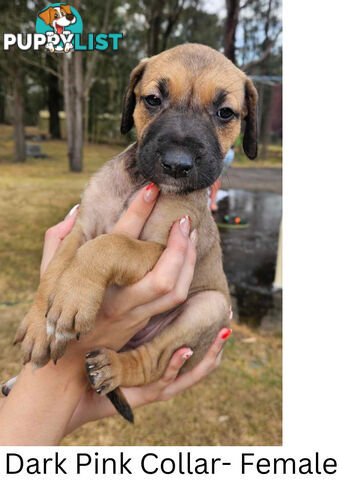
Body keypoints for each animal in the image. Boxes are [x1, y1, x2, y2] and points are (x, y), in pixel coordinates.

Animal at [7, 43, 258, 422]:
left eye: (225, 112)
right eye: (153, 99)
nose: (177, 164)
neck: (140, 182)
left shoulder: (165, 247)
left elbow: (111, 245)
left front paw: (71, 299)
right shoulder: (82, 227)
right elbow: (55, 270)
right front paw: (40, 326)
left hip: (208, 308)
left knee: (150, 361)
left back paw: (112, 367)